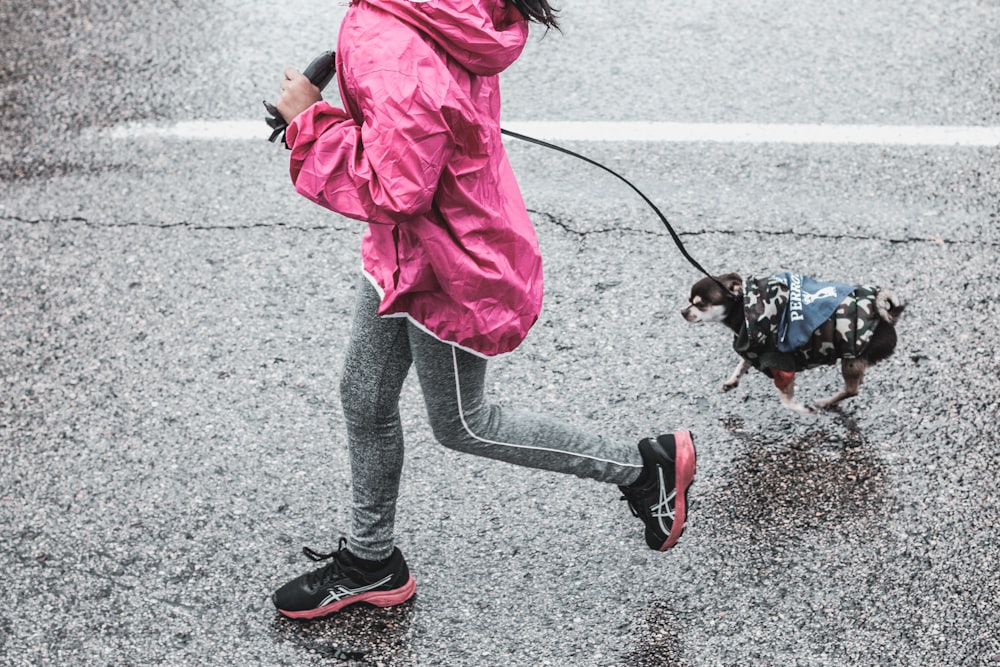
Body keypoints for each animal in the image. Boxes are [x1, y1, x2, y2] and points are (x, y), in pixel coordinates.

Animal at [680, 274, 908, 414]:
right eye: (689, 300)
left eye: (700, 304)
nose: (683, 311)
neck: (743, 310)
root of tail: (889, 320)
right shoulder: (754, 351)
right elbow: (742, 365)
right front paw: (732, 381)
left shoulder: (782, 364)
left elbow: (786, 400)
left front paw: (803, 410)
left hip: (850, 359)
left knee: (852, 390)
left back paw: (825, 402)